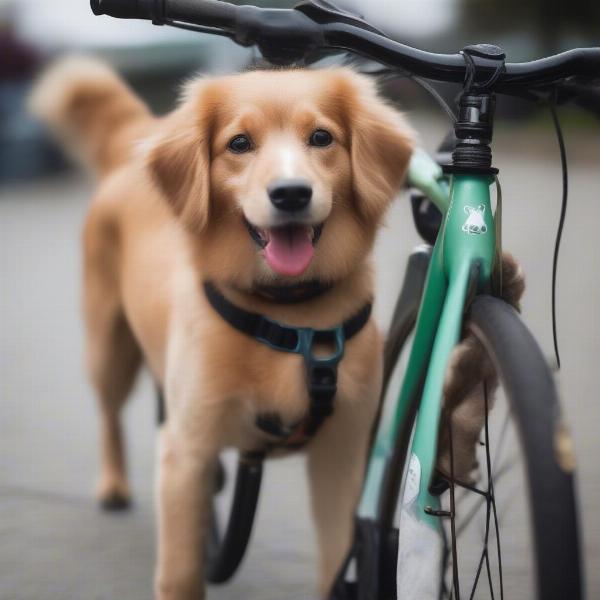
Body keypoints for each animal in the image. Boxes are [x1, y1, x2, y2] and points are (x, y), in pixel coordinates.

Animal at [30, 57, 524, 600]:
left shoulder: (341, 454)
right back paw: (114, 484)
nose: (290, 194)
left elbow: (336, 558)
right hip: (110, 349)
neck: (289, 313)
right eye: (239, 143)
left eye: (321, 137)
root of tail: (133, 139)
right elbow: (181, 571)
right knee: (109, 412)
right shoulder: (186, 451)